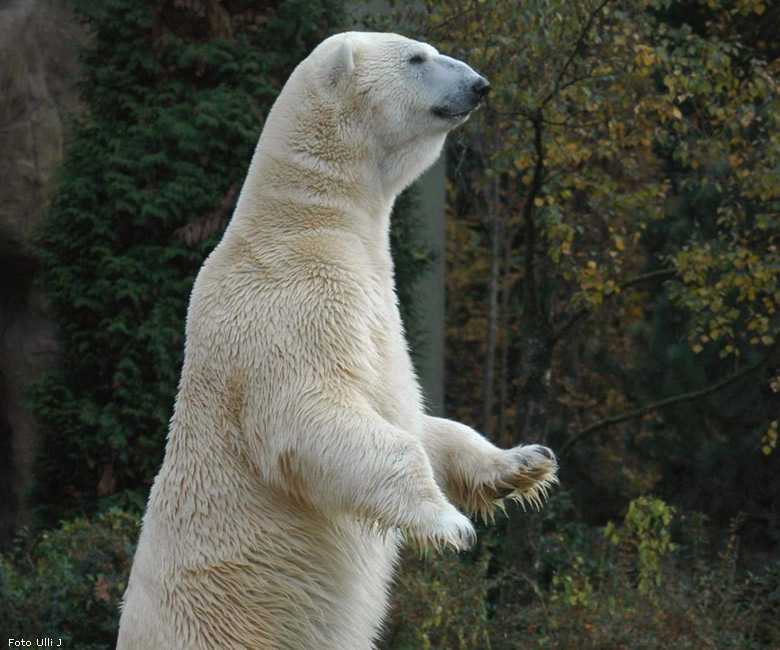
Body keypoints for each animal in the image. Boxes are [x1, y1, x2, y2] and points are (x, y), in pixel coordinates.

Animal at [117, 31, 556, 648]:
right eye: (417, 58)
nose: (479, 85)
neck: (304, 218)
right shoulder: (293, 302)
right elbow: (315, 416)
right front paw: (451, 523)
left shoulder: (373, 299)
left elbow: (413, 419)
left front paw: (524, 462)